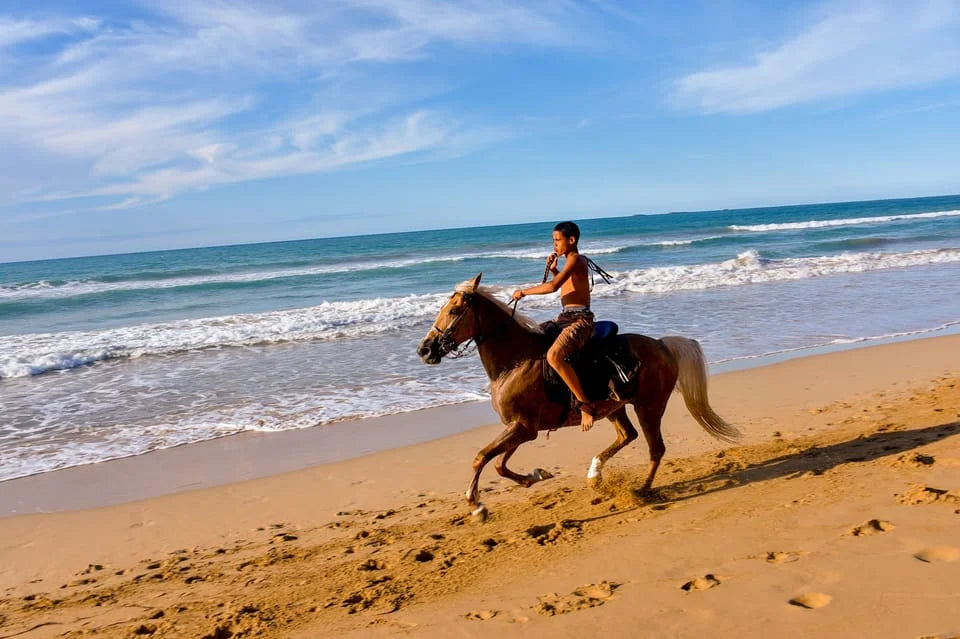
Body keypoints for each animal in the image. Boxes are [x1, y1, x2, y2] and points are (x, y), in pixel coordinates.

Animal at [417, 273, 740, 521]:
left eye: (454, 311)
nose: (425, 349)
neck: (515, 362)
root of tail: (662, 345)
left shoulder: (522, 428)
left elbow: (481, 458)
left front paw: (477, 507)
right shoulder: (522, 428)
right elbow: (499, 463)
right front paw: (535, 476)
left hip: (649, 406)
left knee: (655, 449)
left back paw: (641, 490)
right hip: (614, 407)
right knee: (628, 436)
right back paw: (595, 474)